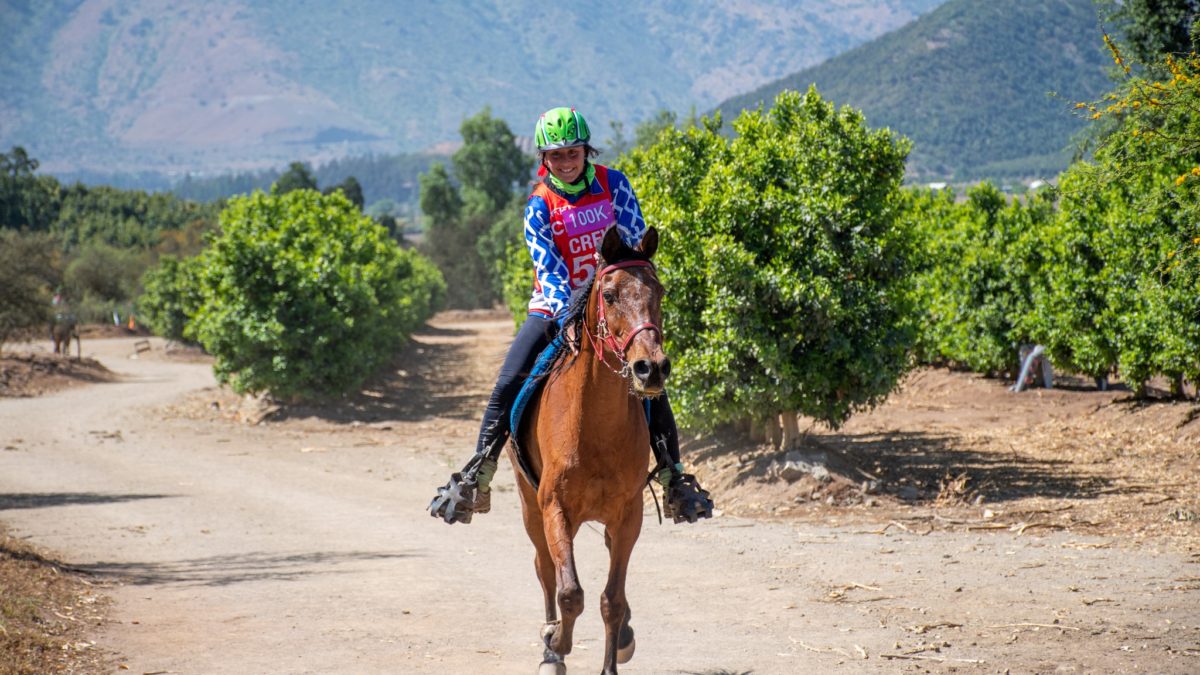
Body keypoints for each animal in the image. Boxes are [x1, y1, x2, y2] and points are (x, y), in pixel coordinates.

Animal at [511, 225, 672, 672]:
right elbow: (570, 592)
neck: (596, 428)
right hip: (530, 505)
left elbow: (611, 600)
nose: (651, 368)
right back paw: (550, 645)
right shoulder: (554, 507)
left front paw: (613, 658)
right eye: (610, 295)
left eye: (660, 291)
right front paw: (556, 643)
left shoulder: (628, 514)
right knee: (544, 568)